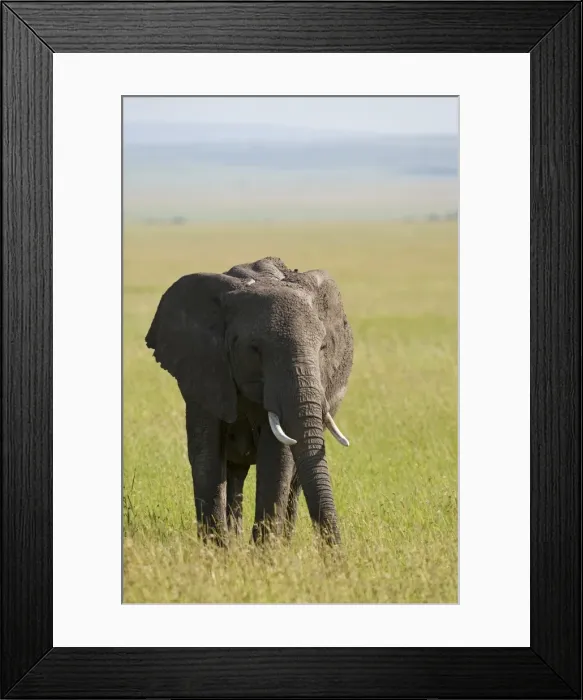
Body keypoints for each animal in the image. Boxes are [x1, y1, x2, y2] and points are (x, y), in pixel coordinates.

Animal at [145, 256, 353, 546]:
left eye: (323, 348)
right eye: (254, 349)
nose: (336, 554)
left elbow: (277, 457)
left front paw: (265, 552)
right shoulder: (203, 367)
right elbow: (206, 453)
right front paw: (215, 550)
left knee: (294, 480)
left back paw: (281, 541)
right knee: (235, 472)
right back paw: (235, 540)